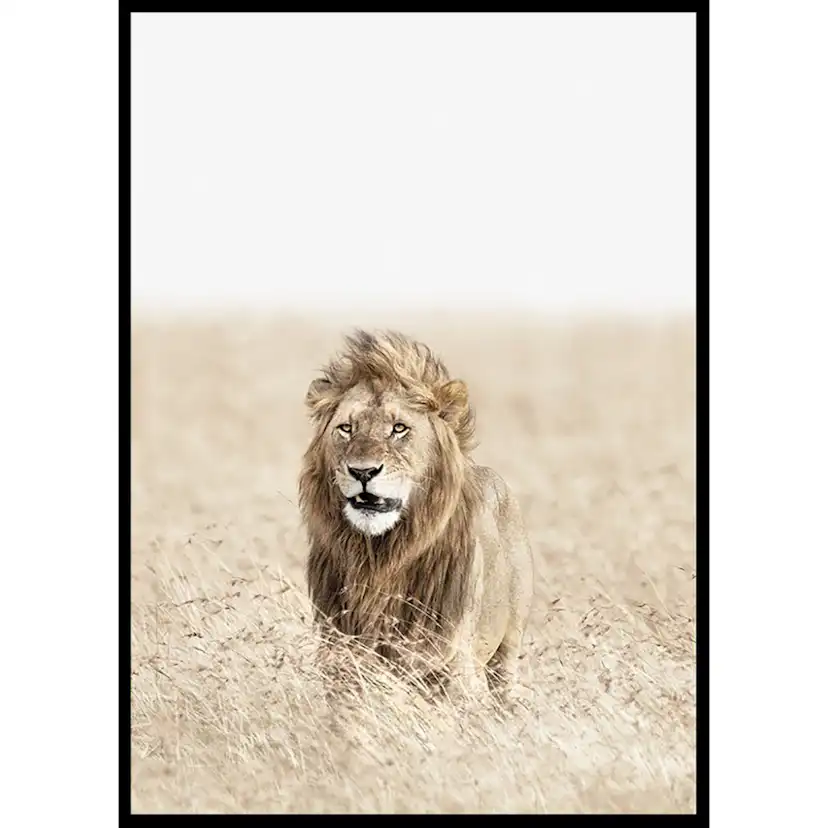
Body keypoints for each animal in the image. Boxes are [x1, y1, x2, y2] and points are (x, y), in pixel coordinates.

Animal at [298, 329, 533, 705]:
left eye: (399, 428)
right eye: (346, 428)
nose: (362, 471)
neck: (380, 558)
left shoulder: (454, 666)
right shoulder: (339, 658)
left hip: (509, 648)